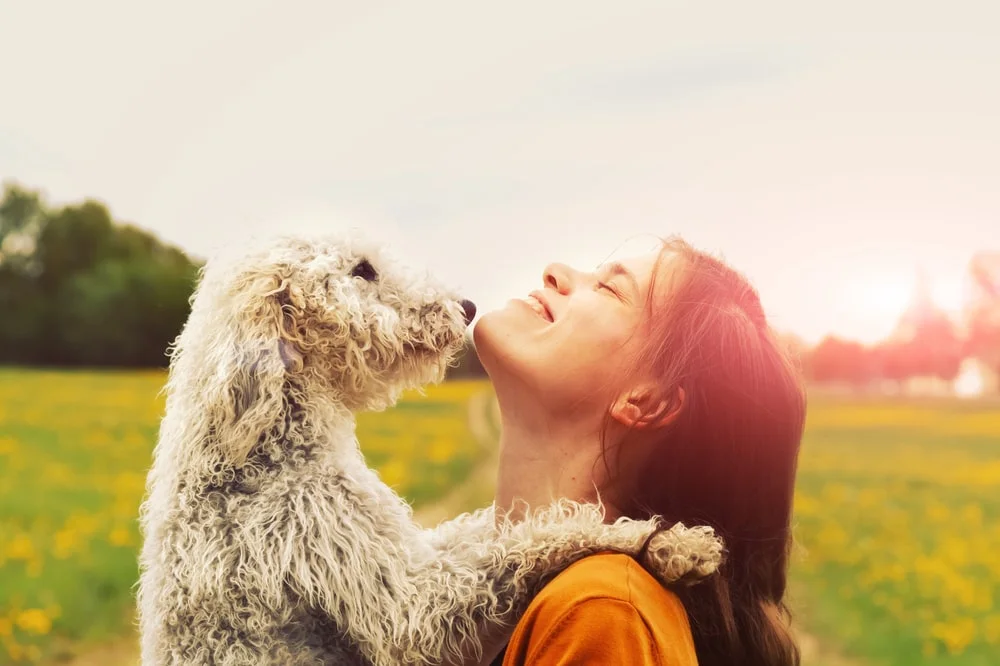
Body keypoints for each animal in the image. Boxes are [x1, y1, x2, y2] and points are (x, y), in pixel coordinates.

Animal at [137, 231, 724, 660]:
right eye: (362, 270)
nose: (465, 305)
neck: (259, 447)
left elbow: (498, 530)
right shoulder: (395, 595)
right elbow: (531, 542)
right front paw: (662, 542)